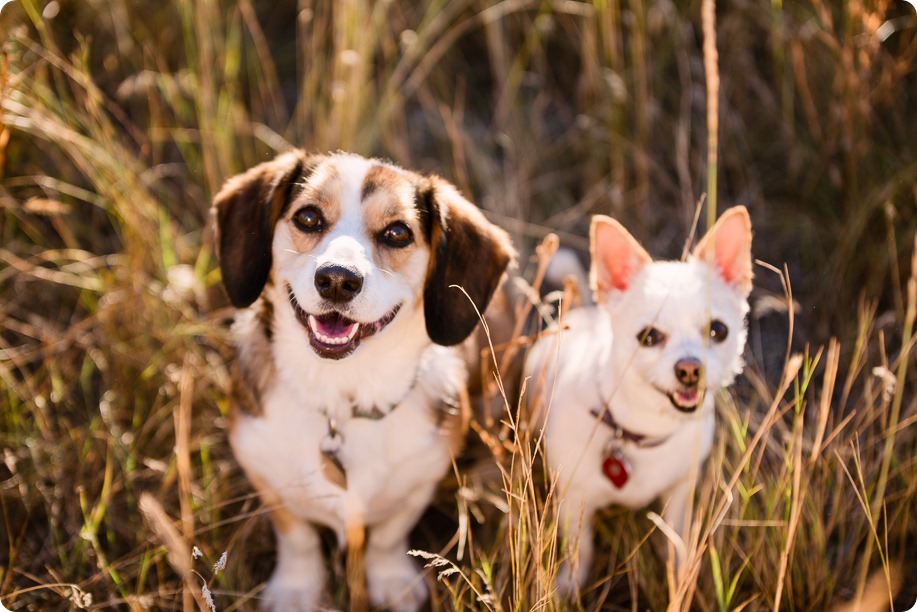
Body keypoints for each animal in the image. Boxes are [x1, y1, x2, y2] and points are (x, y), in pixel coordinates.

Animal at [216, 149, 516, 612]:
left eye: (397, 232)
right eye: (307, 217)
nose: (338, 280)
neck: (342, 393)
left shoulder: (421, 482)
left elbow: (388, 537)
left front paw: (392, 581)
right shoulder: (266, 474)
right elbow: (298, 537)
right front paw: (297, 589)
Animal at [524, 206, 752, 592]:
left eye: (718, 331)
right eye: (648, 337)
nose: (690, 368)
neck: (644, 431)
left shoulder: (680, 491)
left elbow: (676, 539)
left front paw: (680, 577)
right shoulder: (573, 499)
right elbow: (579, 547)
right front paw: (569, 586)